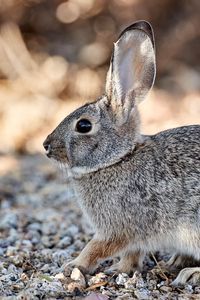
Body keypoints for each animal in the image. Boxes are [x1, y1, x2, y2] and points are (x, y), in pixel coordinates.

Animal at [43, 21, 200, 286]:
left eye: (83, 126)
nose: (46, 146)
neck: (118, 159)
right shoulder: (134, 236)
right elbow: (132, 254)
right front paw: (120, 269)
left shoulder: (118, 227)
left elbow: (96, 247)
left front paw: (72, 266)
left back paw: (190, 273)